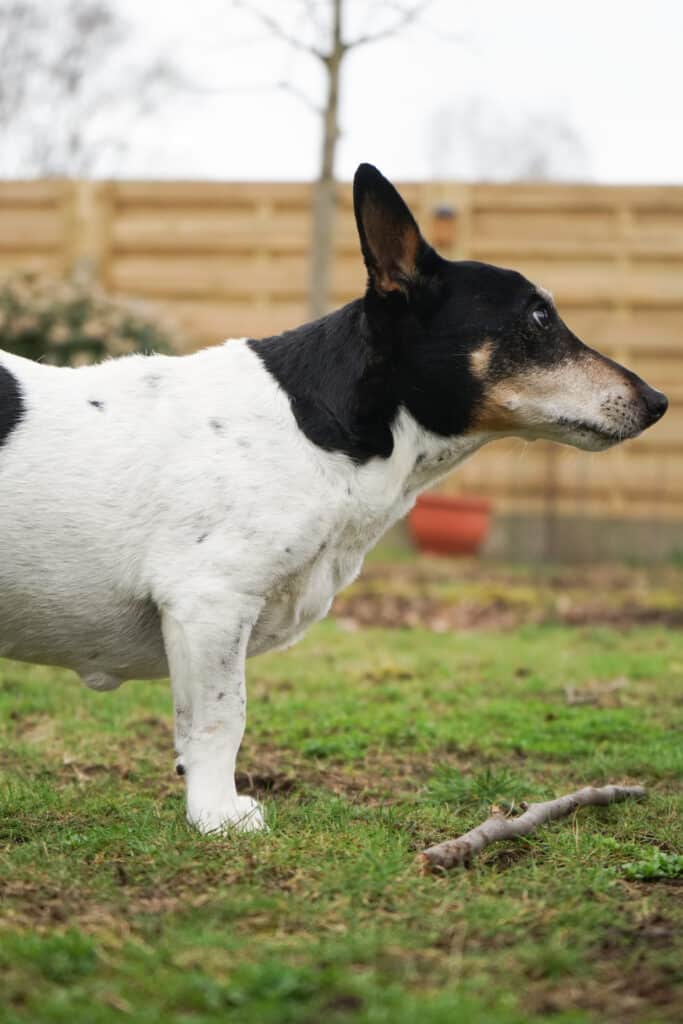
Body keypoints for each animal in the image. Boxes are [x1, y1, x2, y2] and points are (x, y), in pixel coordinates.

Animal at [0, 161, 663, 831]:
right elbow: (221, 720)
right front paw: (216, 816)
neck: (310, 425)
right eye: (537, 317)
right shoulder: (209, 604)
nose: (658, 401)